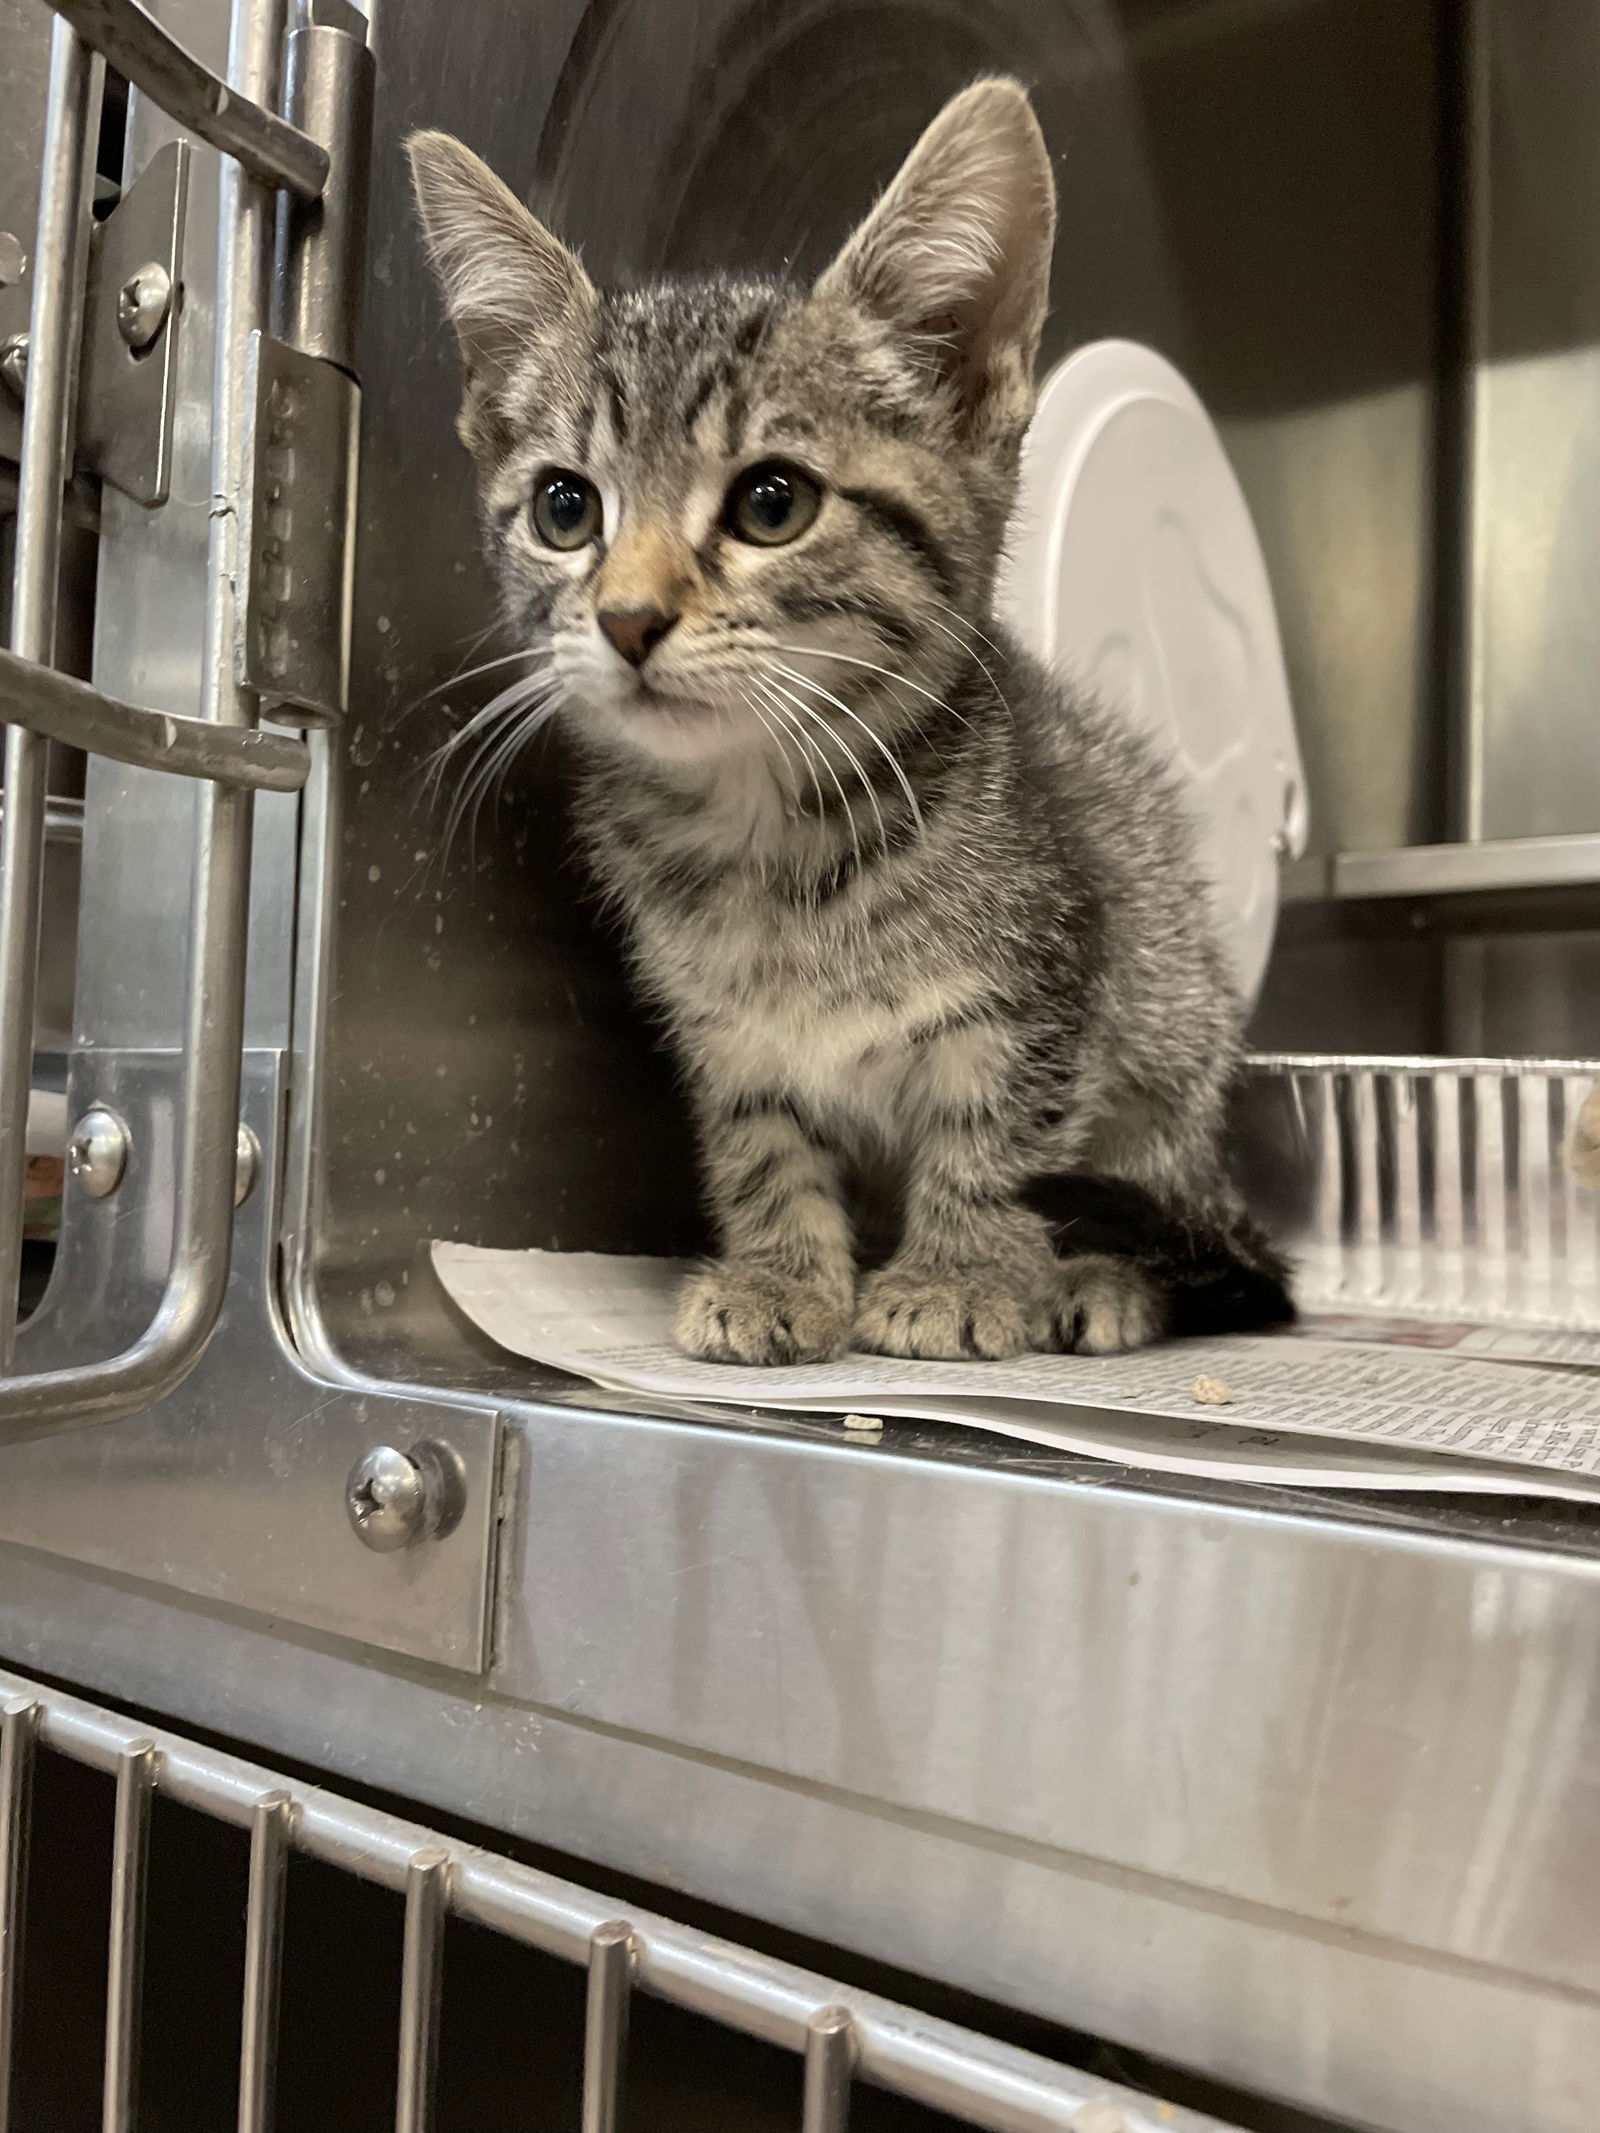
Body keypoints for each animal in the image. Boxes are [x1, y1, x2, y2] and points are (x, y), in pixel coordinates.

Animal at [407, 83, 1297, 1356]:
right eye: (564, 509)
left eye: (772, 502)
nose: (626, 618)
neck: (767, 840)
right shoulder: (726, 1036)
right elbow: (762, 1146)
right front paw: (783, 1275)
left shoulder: (1045, 985)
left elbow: (997, 1144)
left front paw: (962, 1275)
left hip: (1173, 1027)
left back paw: (1098, 1279)